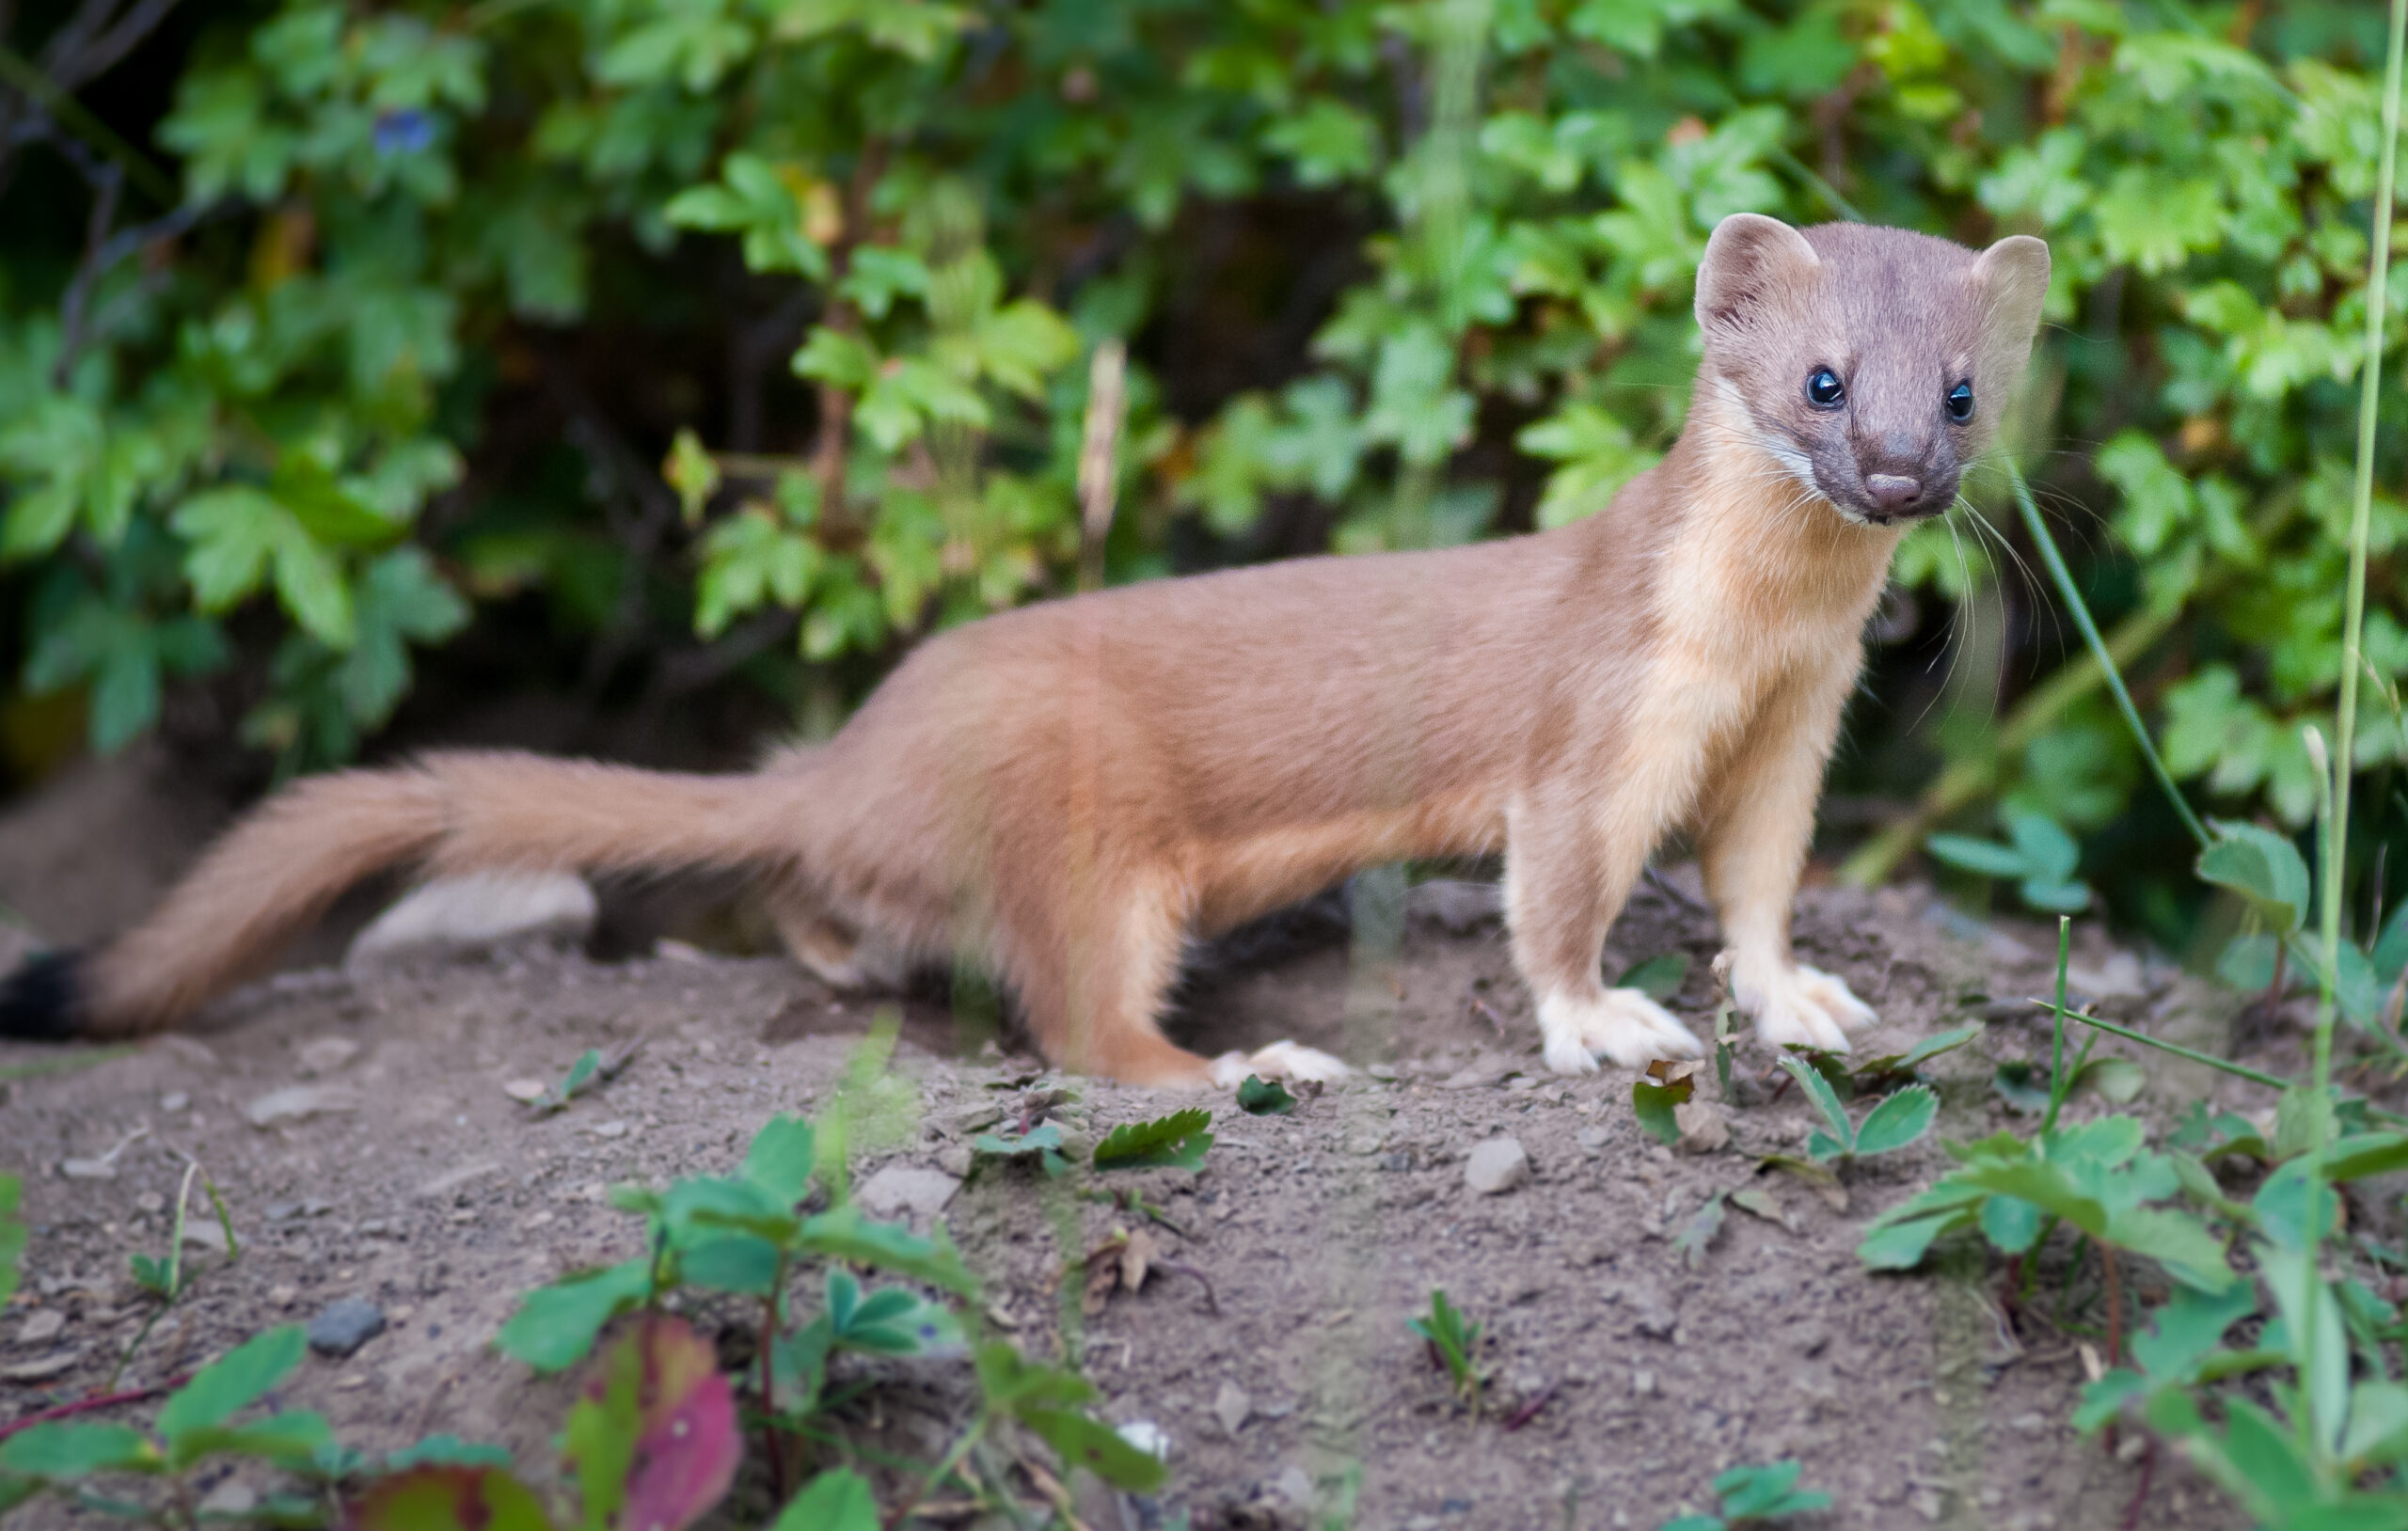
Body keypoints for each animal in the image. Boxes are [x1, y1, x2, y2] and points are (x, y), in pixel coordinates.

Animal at [0, 221, 2052, 1093]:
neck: (1756, 645)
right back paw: (1252, 1068)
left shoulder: (1796, 726)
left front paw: (1798, 998)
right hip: (1088, 827)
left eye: (1960, 387)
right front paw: (1605, 1018)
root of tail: (855, 750)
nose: (1893, 470)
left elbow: (1764, 885)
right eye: (1813, 379)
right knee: (1085, 1030)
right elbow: (1554, 898)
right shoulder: (1597, 722)